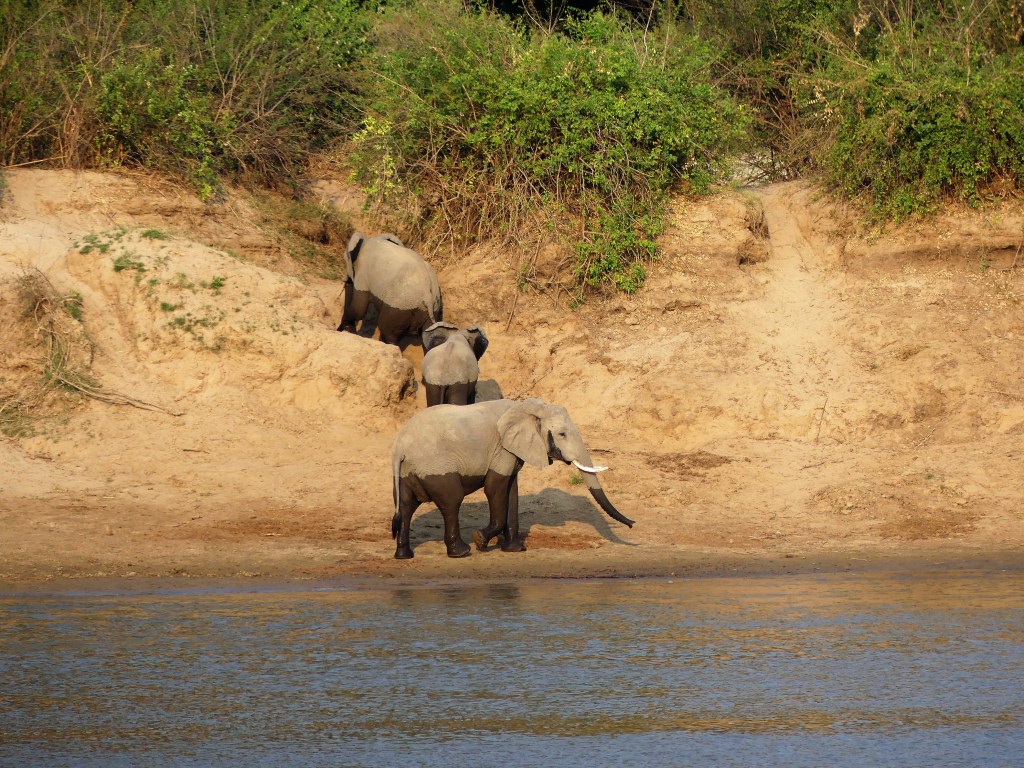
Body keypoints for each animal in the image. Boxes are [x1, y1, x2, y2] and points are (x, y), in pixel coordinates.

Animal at [390, 398, 634, 559]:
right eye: (562, 434)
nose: (632, 524)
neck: (528, 407)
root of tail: (399, 447)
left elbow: (511, 491)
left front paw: (515, 549)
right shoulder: (502, 448)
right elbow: (495, 487)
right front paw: (480, 540)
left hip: (409, 470)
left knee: (406, 505)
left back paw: (404, 555)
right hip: (435, 463)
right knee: (452, 500)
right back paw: (462, 552)